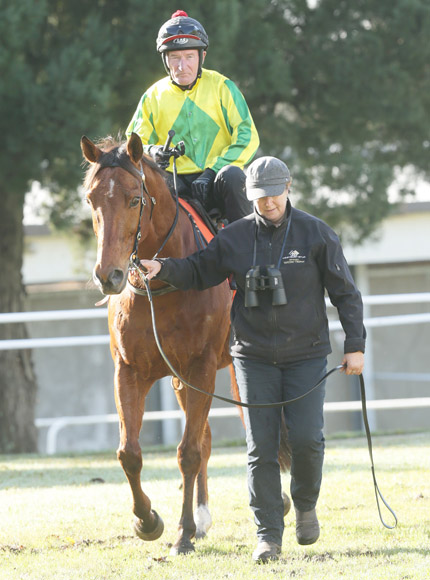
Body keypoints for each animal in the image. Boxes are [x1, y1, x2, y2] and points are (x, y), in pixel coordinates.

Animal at [82, 131, 233, 552]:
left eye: (135, 199)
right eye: (91, 200)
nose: (109, 275)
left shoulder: (201, 368)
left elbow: (188, 452)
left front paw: (182, 534)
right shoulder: (130, 371)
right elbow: (129, 453)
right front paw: (147, 520)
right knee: (207, 437)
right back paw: (201, 517)